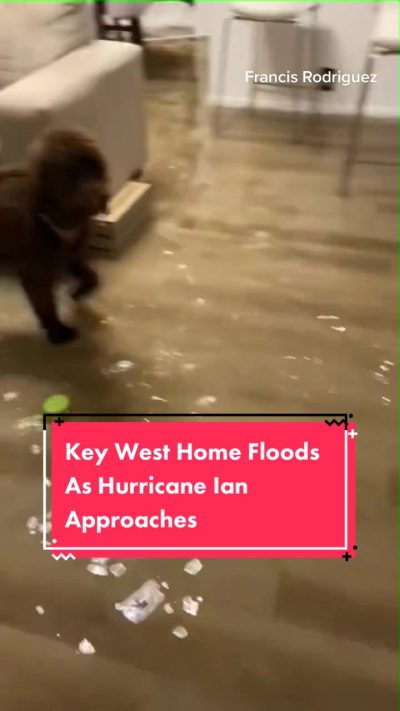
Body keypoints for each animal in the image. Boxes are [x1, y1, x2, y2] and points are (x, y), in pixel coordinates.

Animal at [0, 129, 109, 344]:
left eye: (94, 167)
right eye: (72, 174)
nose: (102, 195)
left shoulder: (72, 253)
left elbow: (91, 275)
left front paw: (80, 289)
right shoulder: (35, 270)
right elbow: (45, 302)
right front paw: (57, 330)